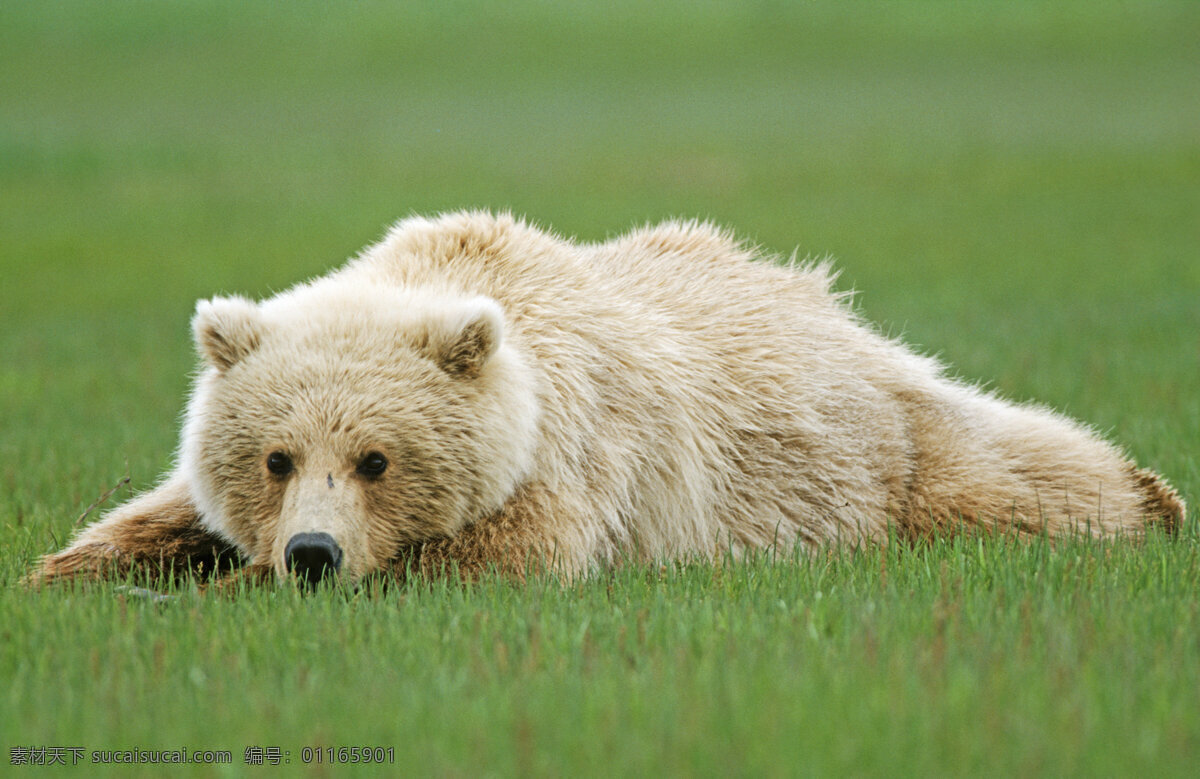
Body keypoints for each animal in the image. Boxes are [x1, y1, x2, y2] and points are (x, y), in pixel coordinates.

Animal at [28, 210, 1180, 585]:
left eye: (376, 458)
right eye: (274, 457)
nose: (312, 552)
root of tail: (826, 301)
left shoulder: (571, 457)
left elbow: (507, 557)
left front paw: (236, 588)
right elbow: (145, 519)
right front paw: (73, 577)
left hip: (876, 449)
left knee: (1012, 475)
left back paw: (1151, 500)